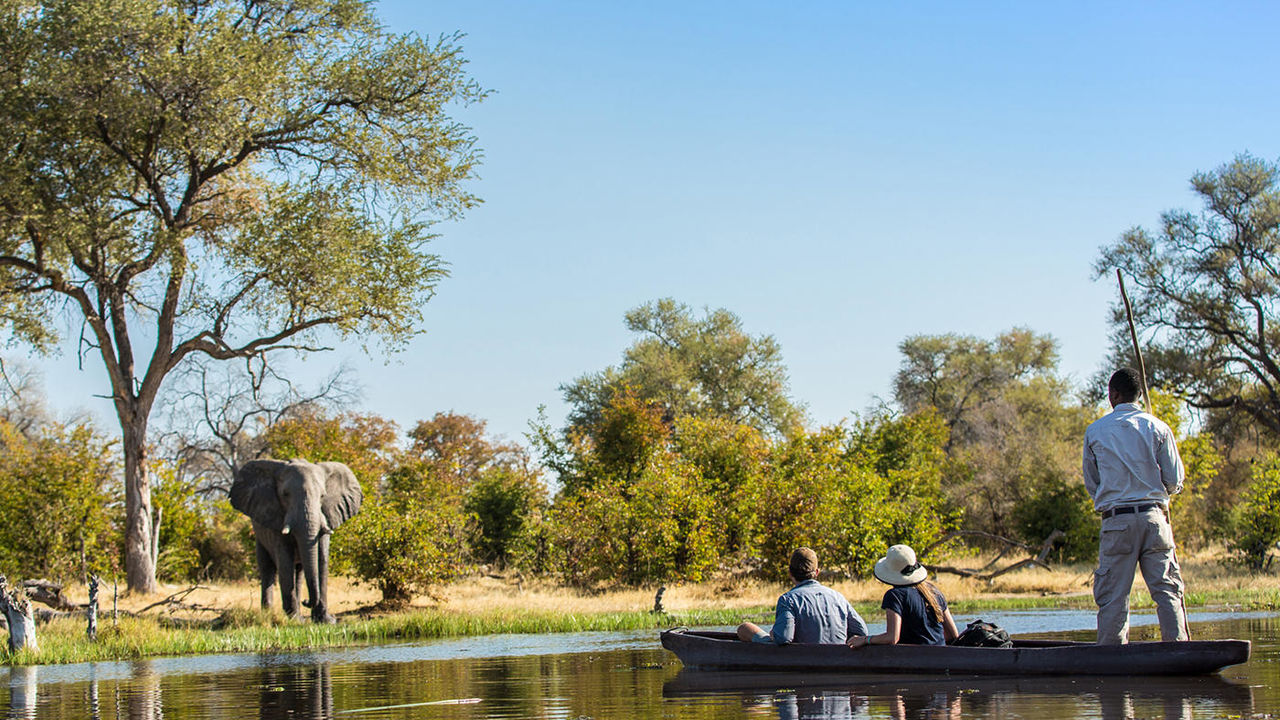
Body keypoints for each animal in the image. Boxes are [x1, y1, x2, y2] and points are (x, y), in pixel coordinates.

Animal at [227, 458, 360, 622]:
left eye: (323, 496)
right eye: (285, 494)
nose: (306, 601)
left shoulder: (326, 516)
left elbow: (322, 559)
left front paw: (326, 621)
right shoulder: (276, 519)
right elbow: (285, 560)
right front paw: (293, 620)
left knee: (299, 571)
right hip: (260, 536)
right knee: (267, 568)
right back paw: (270, 615)